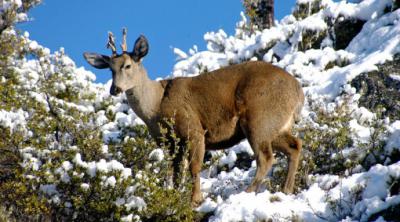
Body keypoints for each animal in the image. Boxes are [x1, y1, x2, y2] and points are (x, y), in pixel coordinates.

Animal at [83, 28, 304, 207]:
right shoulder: (171, 143)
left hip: (259, 119)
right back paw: (286, 190)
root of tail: (298, 93)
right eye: (110, 69)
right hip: (275, 125)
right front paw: (174, 198)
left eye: (128, 65)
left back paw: (246, 193)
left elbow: (194, 167)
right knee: (295, 146)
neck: (156, 107)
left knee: (266, 158)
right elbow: (175, 174)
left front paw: (195, 200)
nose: (115, 89)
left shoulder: (194, 129)